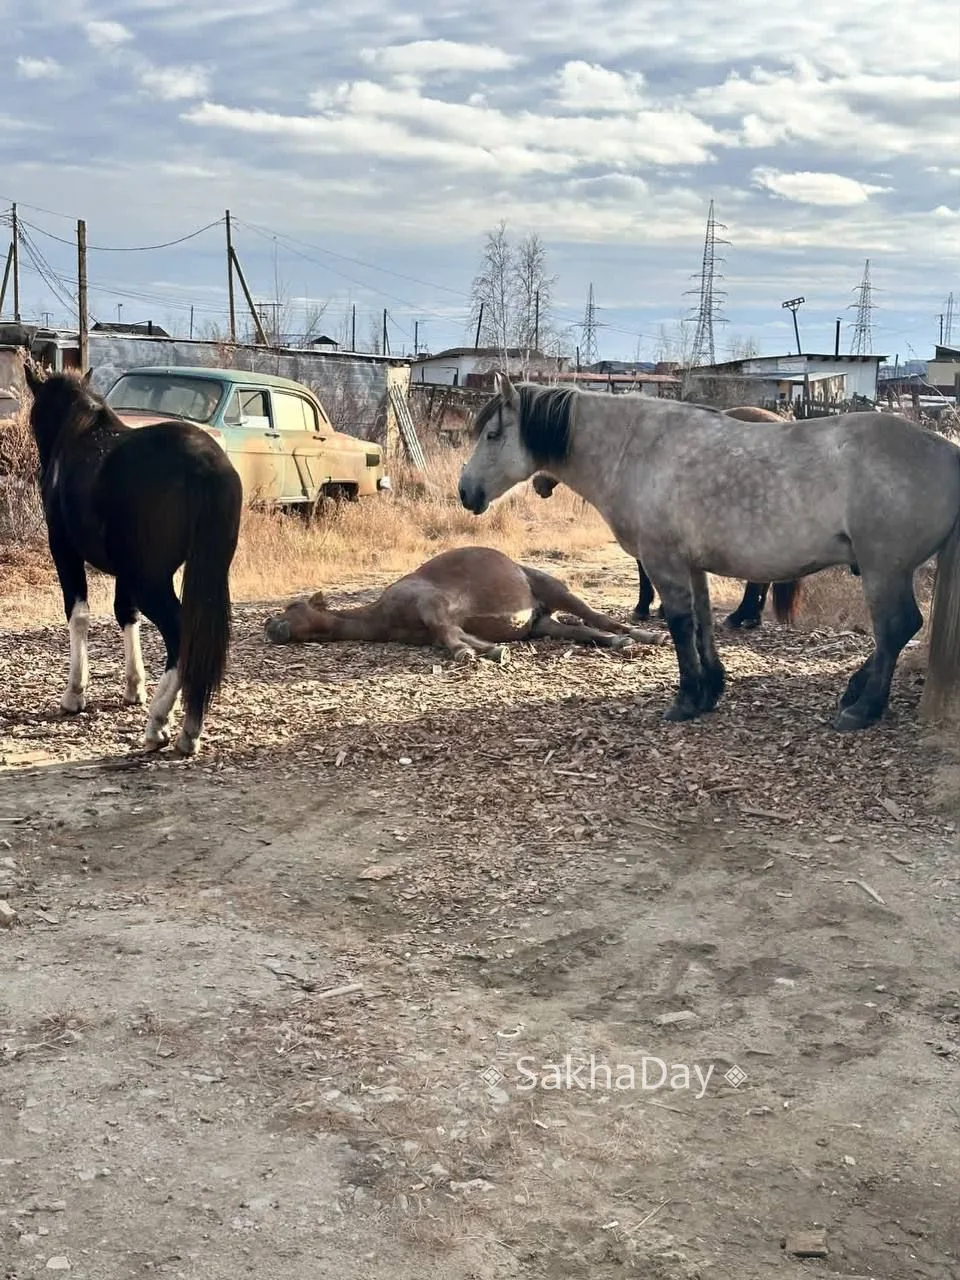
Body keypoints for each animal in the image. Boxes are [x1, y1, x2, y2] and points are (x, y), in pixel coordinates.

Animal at [23, 362, 243, 756]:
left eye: (36, 415)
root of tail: (205, 464)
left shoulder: (64, 550)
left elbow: (78, 614)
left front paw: (74, 695)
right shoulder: (125, 570)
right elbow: (126, 614)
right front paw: (133, 688)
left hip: (151, 580)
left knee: (180, 631)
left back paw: (161, 724)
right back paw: (187, 724)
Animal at [263, 545, 668, 660]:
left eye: (292, 607)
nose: (269, 625)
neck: (382, 615)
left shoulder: (431, 604)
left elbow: (449, 634)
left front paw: (470, 654)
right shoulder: (436, 625)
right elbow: (457, 635)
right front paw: (490, 651)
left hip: (556, 590)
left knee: (598, 618)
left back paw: (648, 636)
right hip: (540, 623)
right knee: (584, 631)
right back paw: (622, 643)